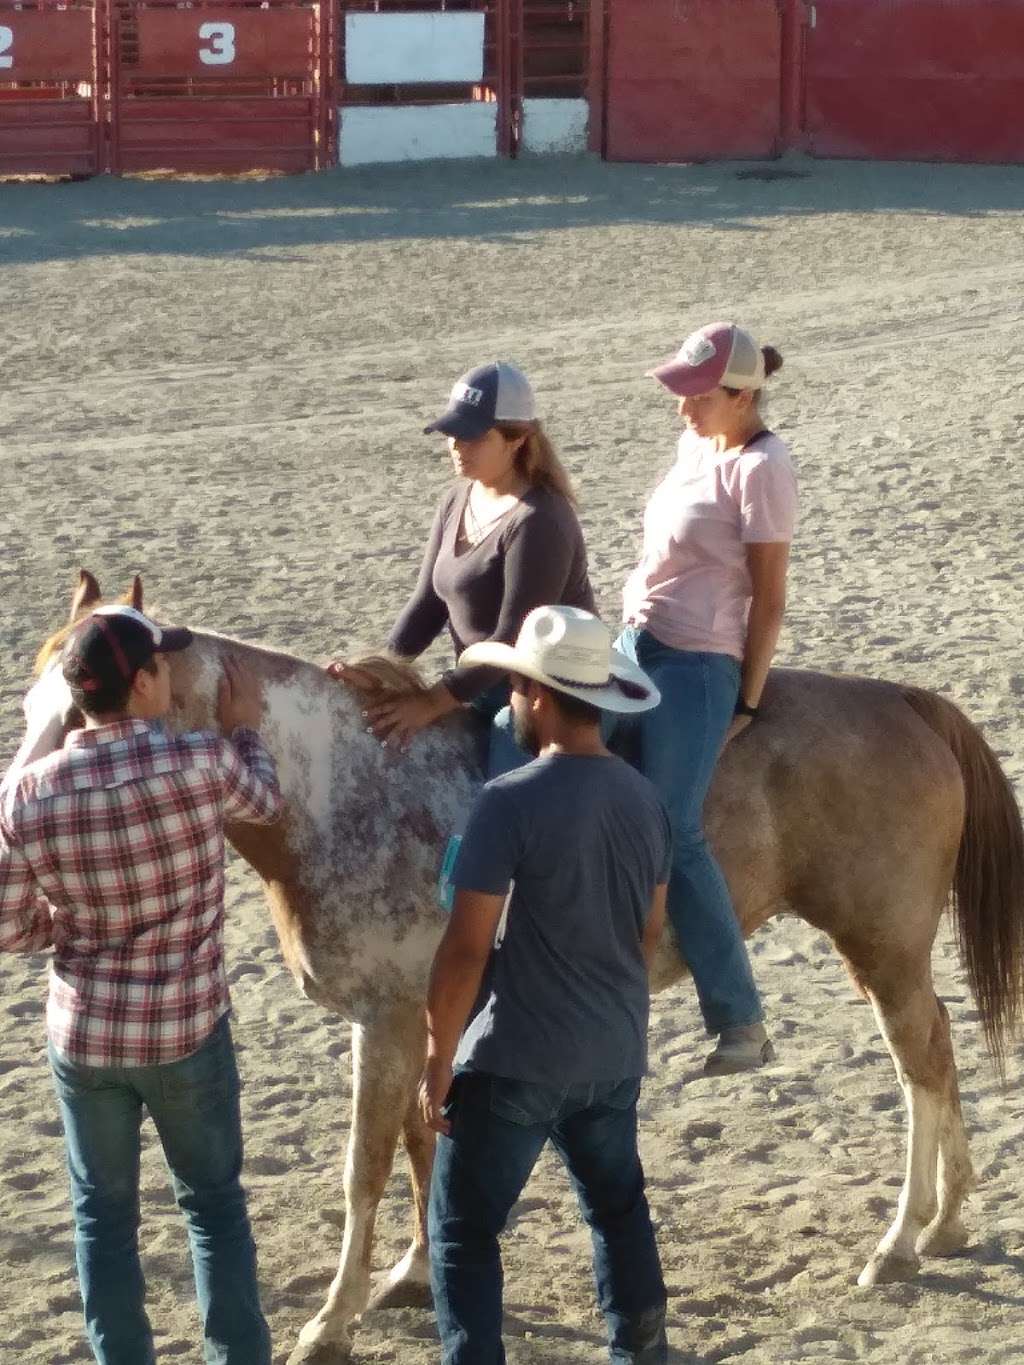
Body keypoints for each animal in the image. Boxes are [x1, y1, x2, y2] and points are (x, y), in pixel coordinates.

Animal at [13, 570, 1024, 1365]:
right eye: (31, 705)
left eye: (78, 708)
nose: (19, 817)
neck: (345, 788)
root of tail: (901, 700)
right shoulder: (424, 1017)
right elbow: (422, 1147)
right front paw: (412, 1271)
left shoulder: (385, 1019)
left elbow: (365, 1168)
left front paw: (331, 1323)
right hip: (884, 953)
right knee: (933, 1051)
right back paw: (945, 1222)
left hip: (881, 944)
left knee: (920, 1064)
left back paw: (900, 1239)